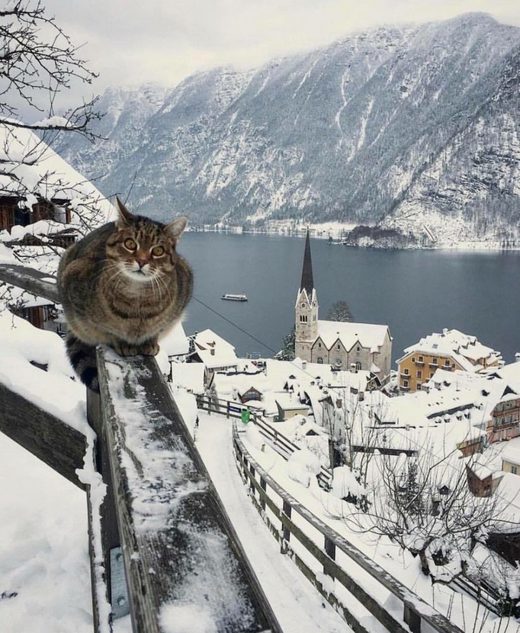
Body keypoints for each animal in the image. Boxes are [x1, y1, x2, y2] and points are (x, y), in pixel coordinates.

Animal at [57, 198, 194, 392]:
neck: (137, 299)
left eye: (158, 251)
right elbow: (108, 330)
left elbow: (157, 329)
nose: (142, 261)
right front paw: (122, 343)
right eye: (130, 244)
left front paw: (150, 342)